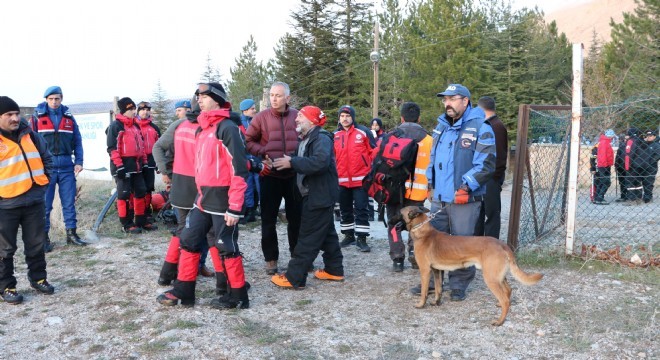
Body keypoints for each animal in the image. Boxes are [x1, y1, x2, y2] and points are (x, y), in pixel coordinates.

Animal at [398, 205, 548, 326]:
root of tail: (503, 245)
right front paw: (436, 302)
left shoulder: (425, 270)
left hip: (490, 278)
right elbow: (438, 289)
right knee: (508, 290)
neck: (423, 231)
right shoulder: (437, 270)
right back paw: (500, 304)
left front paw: (420, 304)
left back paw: (499, 321)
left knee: (505, 300)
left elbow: (424, 291)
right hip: (498, 276)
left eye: (399, 212)